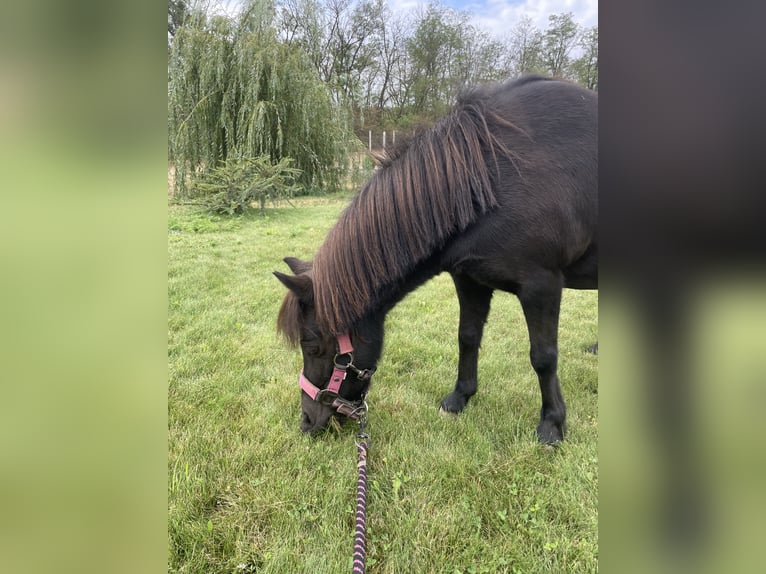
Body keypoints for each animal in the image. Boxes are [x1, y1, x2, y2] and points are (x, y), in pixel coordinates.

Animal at [275, 75, 597, 443]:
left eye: (312, 345)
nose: (307, 421)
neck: (490, 178)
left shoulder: (541, 286)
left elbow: (543, 357)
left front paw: (552, 423)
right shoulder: (469, 280)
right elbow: (467, 337)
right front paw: (459, 398)